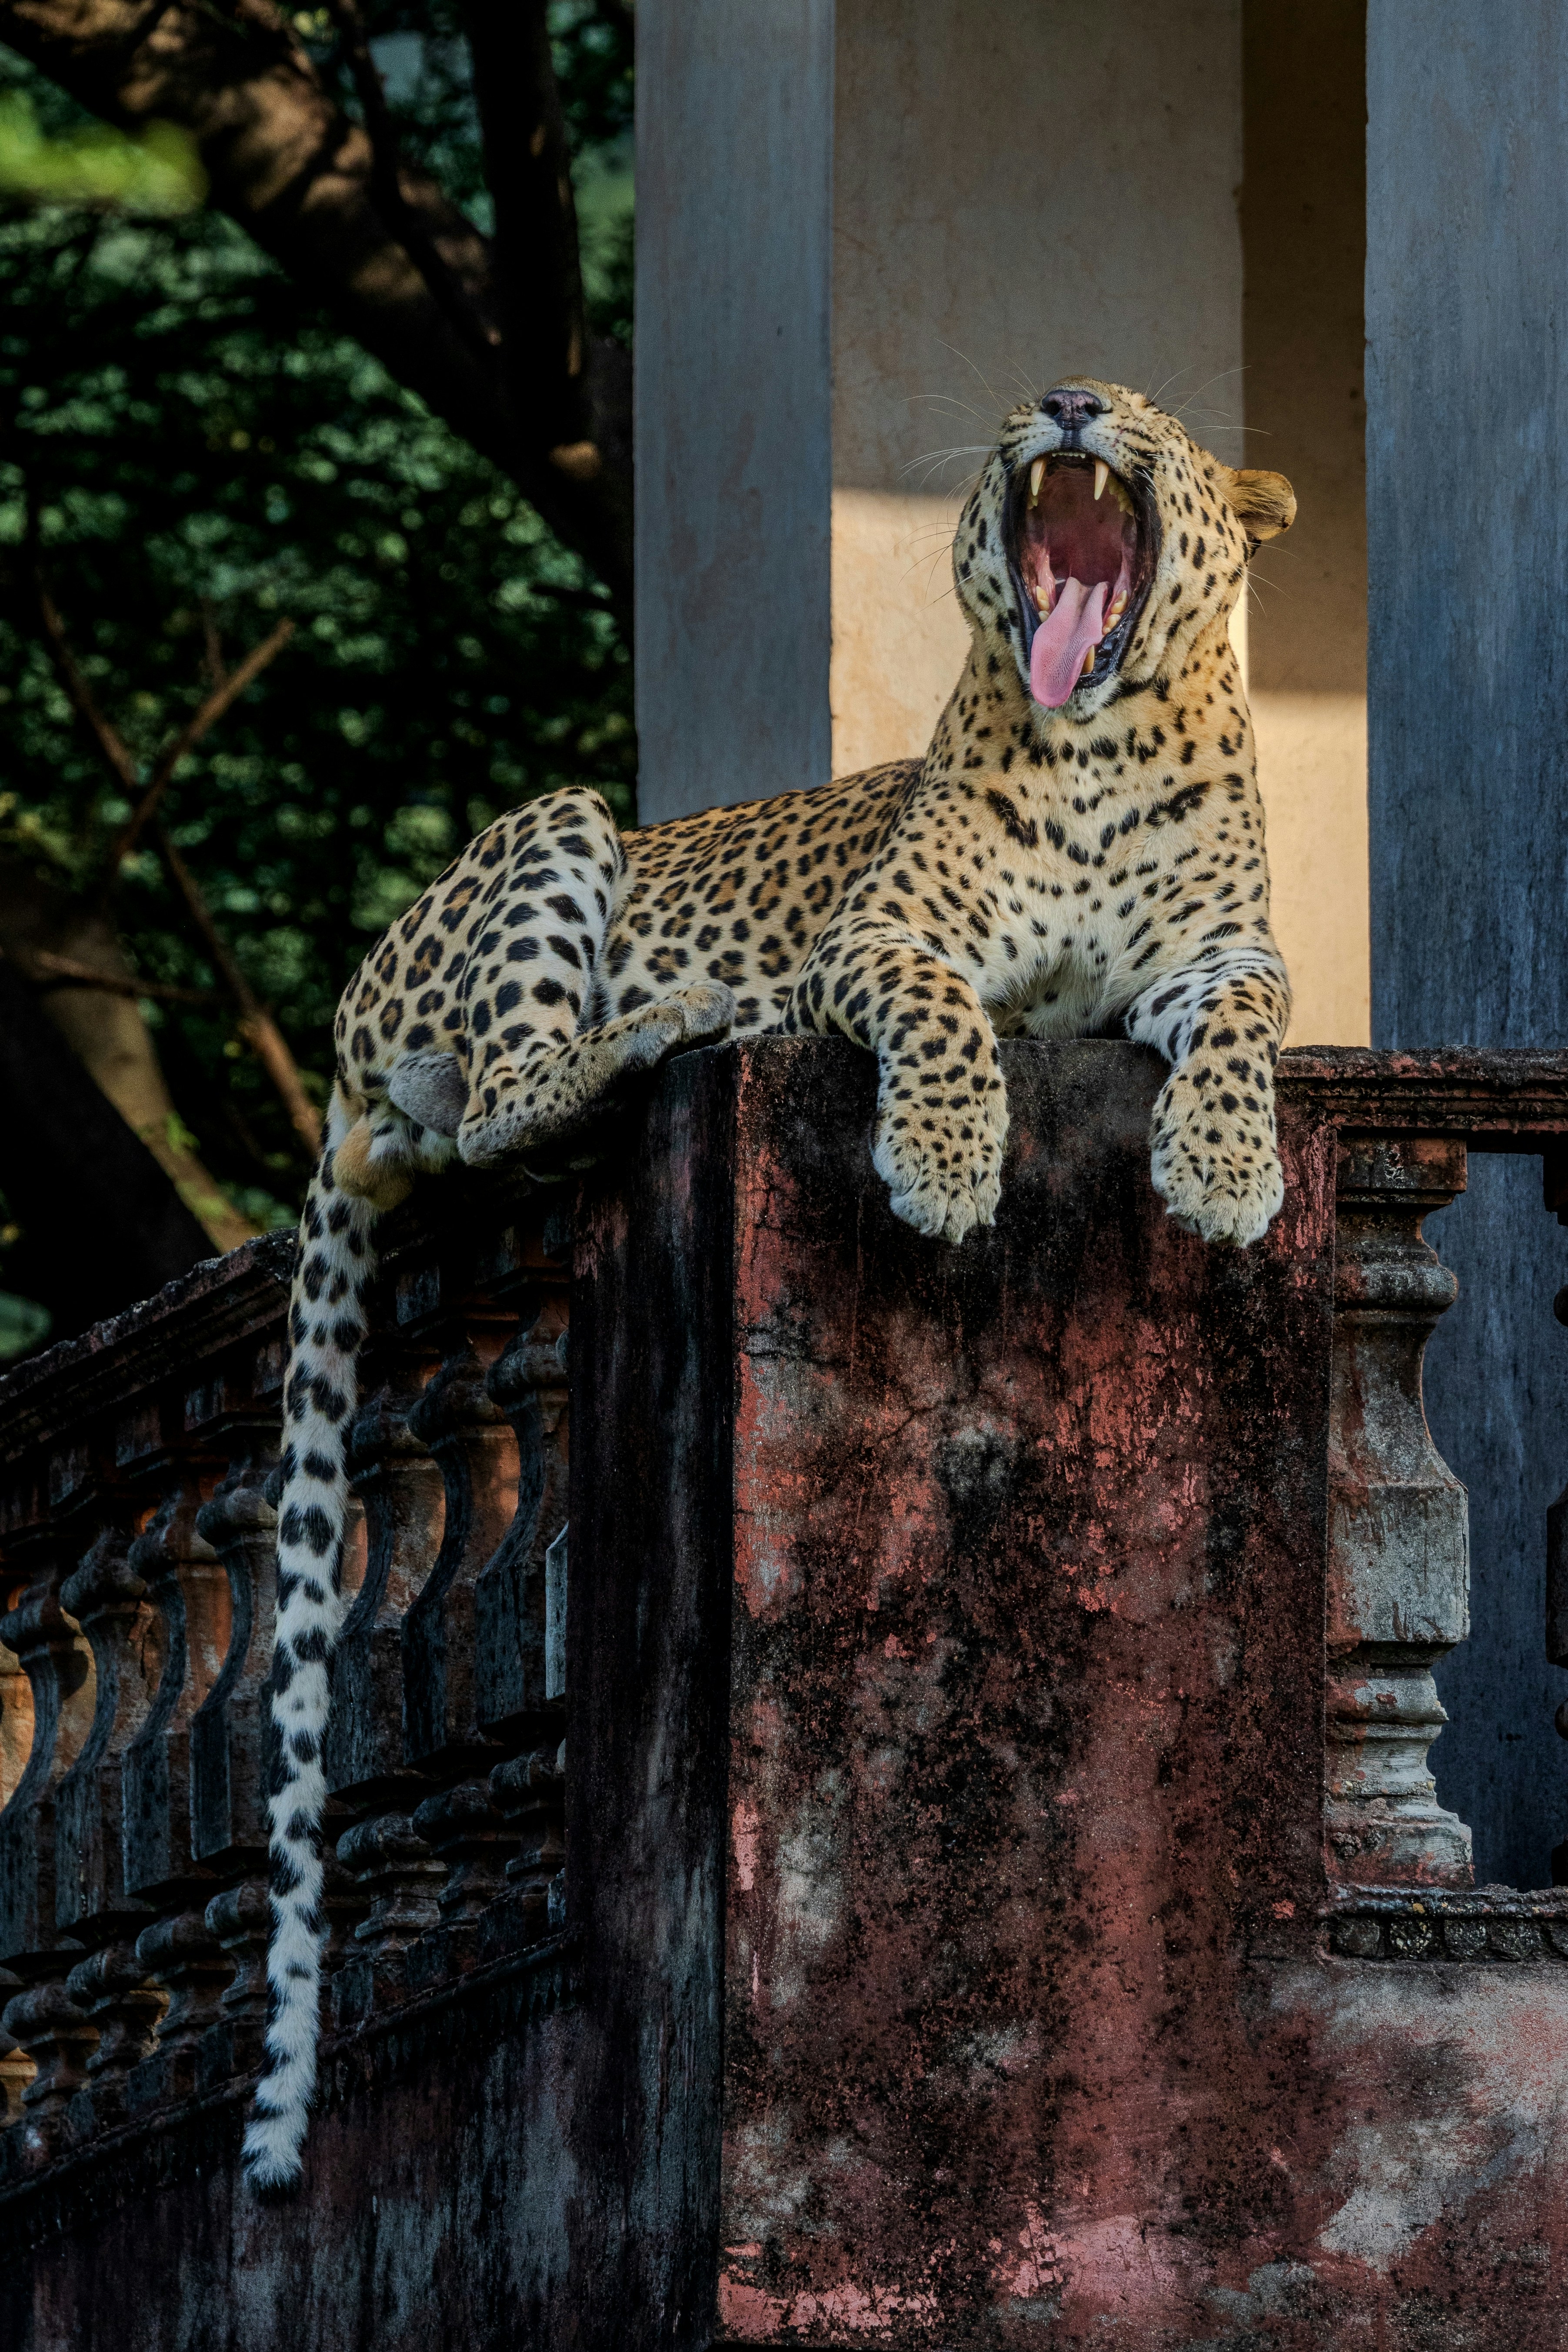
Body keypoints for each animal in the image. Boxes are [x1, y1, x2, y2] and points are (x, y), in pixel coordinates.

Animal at [244, 378, 1296, 2187]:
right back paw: (659, 1023)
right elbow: (945, 1017)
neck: (1097, 748)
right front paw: (942, 1158)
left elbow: (1234, 1027)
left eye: (1148, 410)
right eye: (1045, 395)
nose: (1069, 403)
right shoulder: (872, 948)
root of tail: (341, 1050)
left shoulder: (1217, 962)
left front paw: (1225, 1168)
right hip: (554, 831)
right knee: (503, 1086)